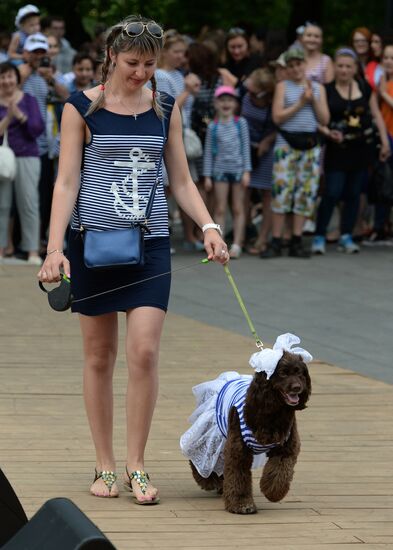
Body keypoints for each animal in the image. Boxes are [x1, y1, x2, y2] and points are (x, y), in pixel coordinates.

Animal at [189, 354, 310, 516]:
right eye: (283, 373)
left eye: (300, 373)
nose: (297, 388)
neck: (273, 413)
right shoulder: (238, 450)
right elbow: (238, 475)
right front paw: (241, 504)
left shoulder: (286, 448)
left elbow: (280, 471)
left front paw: (272, 491)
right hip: (212, 434)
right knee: (199, 456)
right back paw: (207, 480)